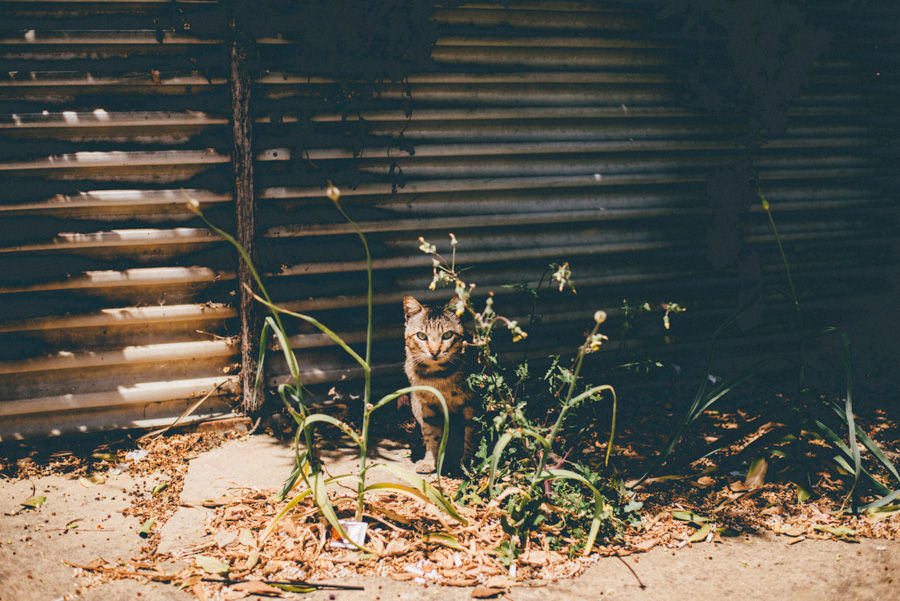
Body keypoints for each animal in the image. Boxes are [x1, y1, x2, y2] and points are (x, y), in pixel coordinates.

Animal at [404, 296, 482, 474]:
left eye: (447, 335)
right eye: (421, 335)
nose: (434, 352)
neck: (437, 377)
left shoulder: (472, 404)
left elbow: (471, 435)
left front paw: (467, 463)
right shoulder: (427, 406)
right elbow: (432, 436)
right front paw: (430, 461)